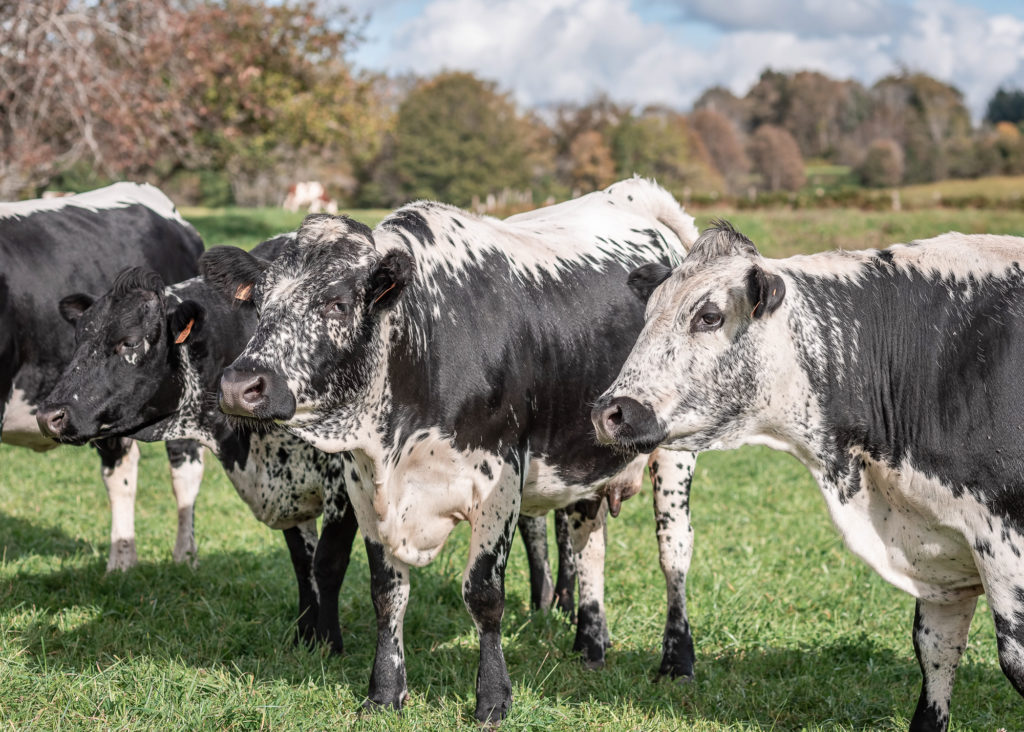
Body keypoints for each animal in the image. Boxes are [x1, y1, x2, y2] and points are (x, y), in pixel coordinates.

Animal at [199, 179, 700, 720]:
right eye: (259, 303)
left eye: (336, 303)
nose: (240, 385)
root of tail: (629, 195)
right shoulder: (364, 488)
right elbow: (386, 594)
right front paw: (385, 691)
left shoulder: (500, 479)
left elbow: (483, 594)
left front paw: (494, 698)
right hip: (587, 466)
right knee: (591, 548)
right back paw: (590, 646)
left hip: (675, 453)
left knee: (674, 552)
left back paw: (677, 660)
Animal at [593, 223, 1024, 732]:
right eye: (649, 313)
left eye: (709, 316)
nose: (610, 412)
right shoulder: (943, 545)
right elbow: (936, 651)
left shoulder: (1004, 545)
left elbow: (1013, 660)